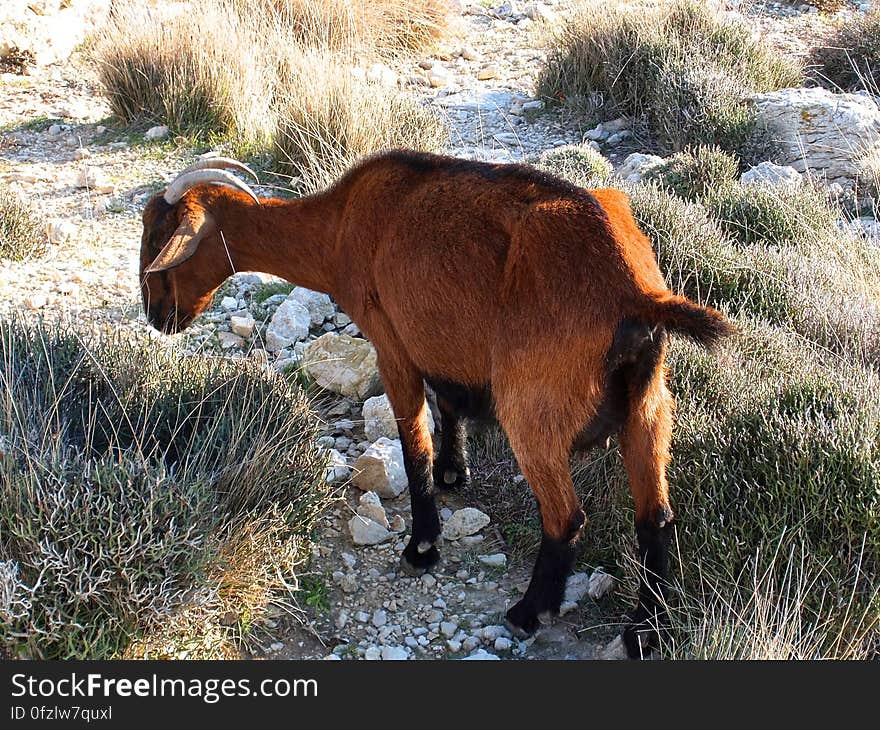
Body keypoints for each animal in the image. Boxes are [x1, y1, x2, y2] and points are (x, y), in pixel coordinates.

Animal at [139, 151, 736, 656]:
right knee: (656, 516)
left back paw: (527, 612)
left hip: (533, 408)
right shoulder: (440, 345)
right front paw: (454, 472)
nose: (156, 315)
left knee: (566, 517)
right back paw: (644, 632)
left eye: (160, 239)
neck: (340, 225)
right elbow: (448, 403)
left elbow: (412, 444)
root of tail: (633, 292)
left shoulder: (392, 344)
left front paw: (422, 545)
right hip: (648, 407)